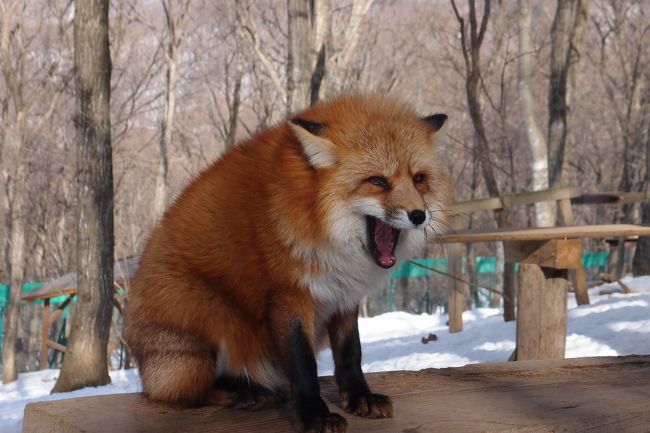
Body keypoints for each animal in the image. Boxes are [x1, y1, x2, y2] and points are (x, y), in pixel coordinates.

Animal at [123, 94, 446, 432]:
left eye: (419, 179)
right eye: (378, 181)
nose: (419, 215)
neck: (315, 217)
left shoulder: (343, 294)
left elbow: (350, 353)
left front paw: (360, 398)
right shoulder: (287, 295)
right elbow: (302, 363)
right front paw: (314, 415)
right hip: (205, 318)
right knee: (181, 394)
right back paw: (244, 391)